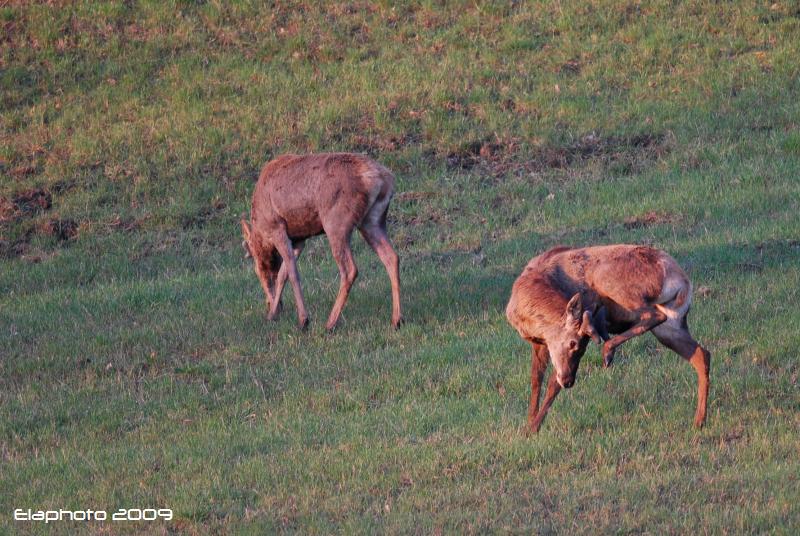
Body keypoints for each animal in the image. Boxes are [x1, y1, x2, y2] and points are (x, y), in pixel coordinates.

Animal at [238, 152, 400, 330]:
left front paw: (303, 319)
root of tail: (381, 178)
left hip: (335, 223)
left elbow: (291, 273)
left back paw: (330, 323)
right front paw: (273, 314)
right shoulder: (298, 239)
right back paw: (396, 319)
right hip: (372, 221)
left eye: (257, 269)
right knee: (391, 257)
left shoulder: (277, 228)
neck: (260, 229)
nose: (270, 303)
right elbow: (283, 273)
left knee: (350, 269)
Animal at [506, 245, 712, 434]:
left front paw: (532, 428)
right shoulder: (540, 343)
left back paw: (608, 351)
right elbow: (535, 379)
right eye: (574, 344)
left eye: (579, 346)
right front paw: (530, 422)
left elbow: (551, 383)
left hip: (612, 283)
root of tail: (682, 281)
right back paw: (699, 421)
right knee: (702, 354)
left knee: (653, 315)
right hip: (672, 323)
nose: (569, 381)